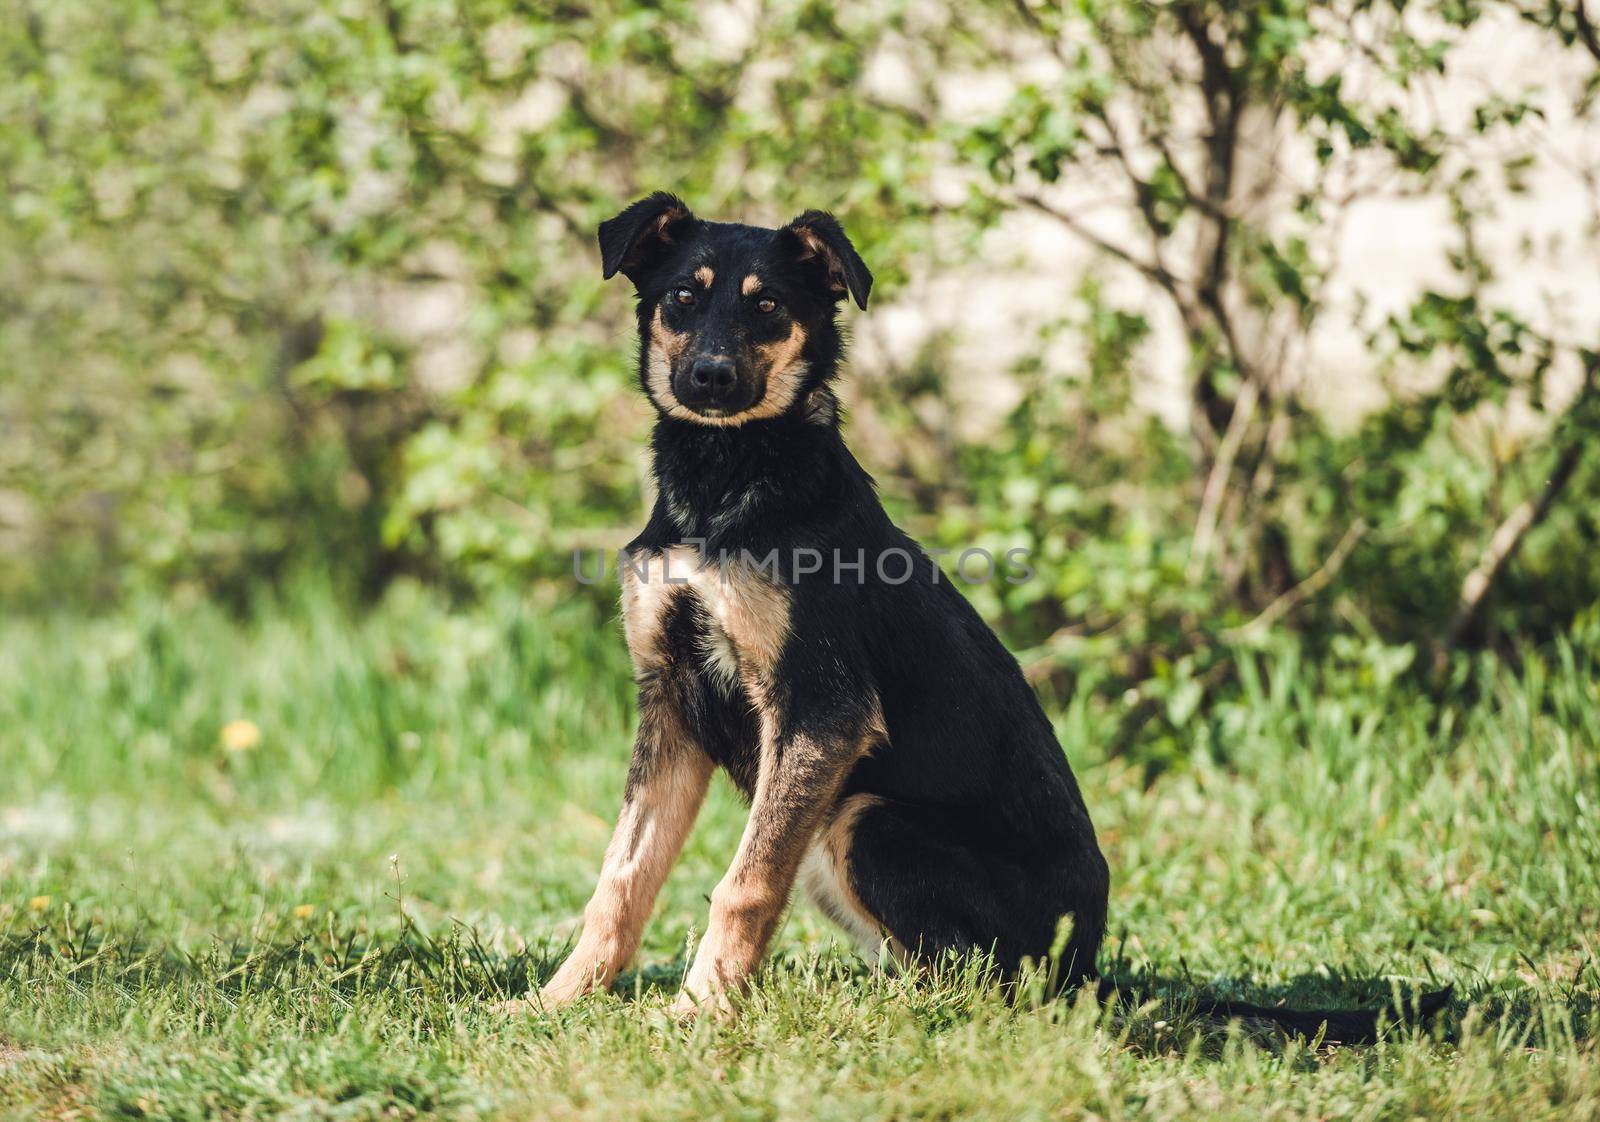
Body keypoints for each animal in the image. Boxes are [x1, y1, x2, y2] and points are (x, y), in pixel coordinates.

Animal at [534, 190, 1452, 1030]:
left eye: (767, 306)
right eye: (683, 298)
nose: (711, 379)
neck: (725, 485)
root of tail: (1089, 971)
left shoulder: (819, 710)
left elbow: (745, 883)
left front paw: (698, 1011)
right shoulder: (672, 698)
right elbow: (622, 875)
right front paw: (557, 1001)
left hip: (867, 819)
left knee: (985, 985)